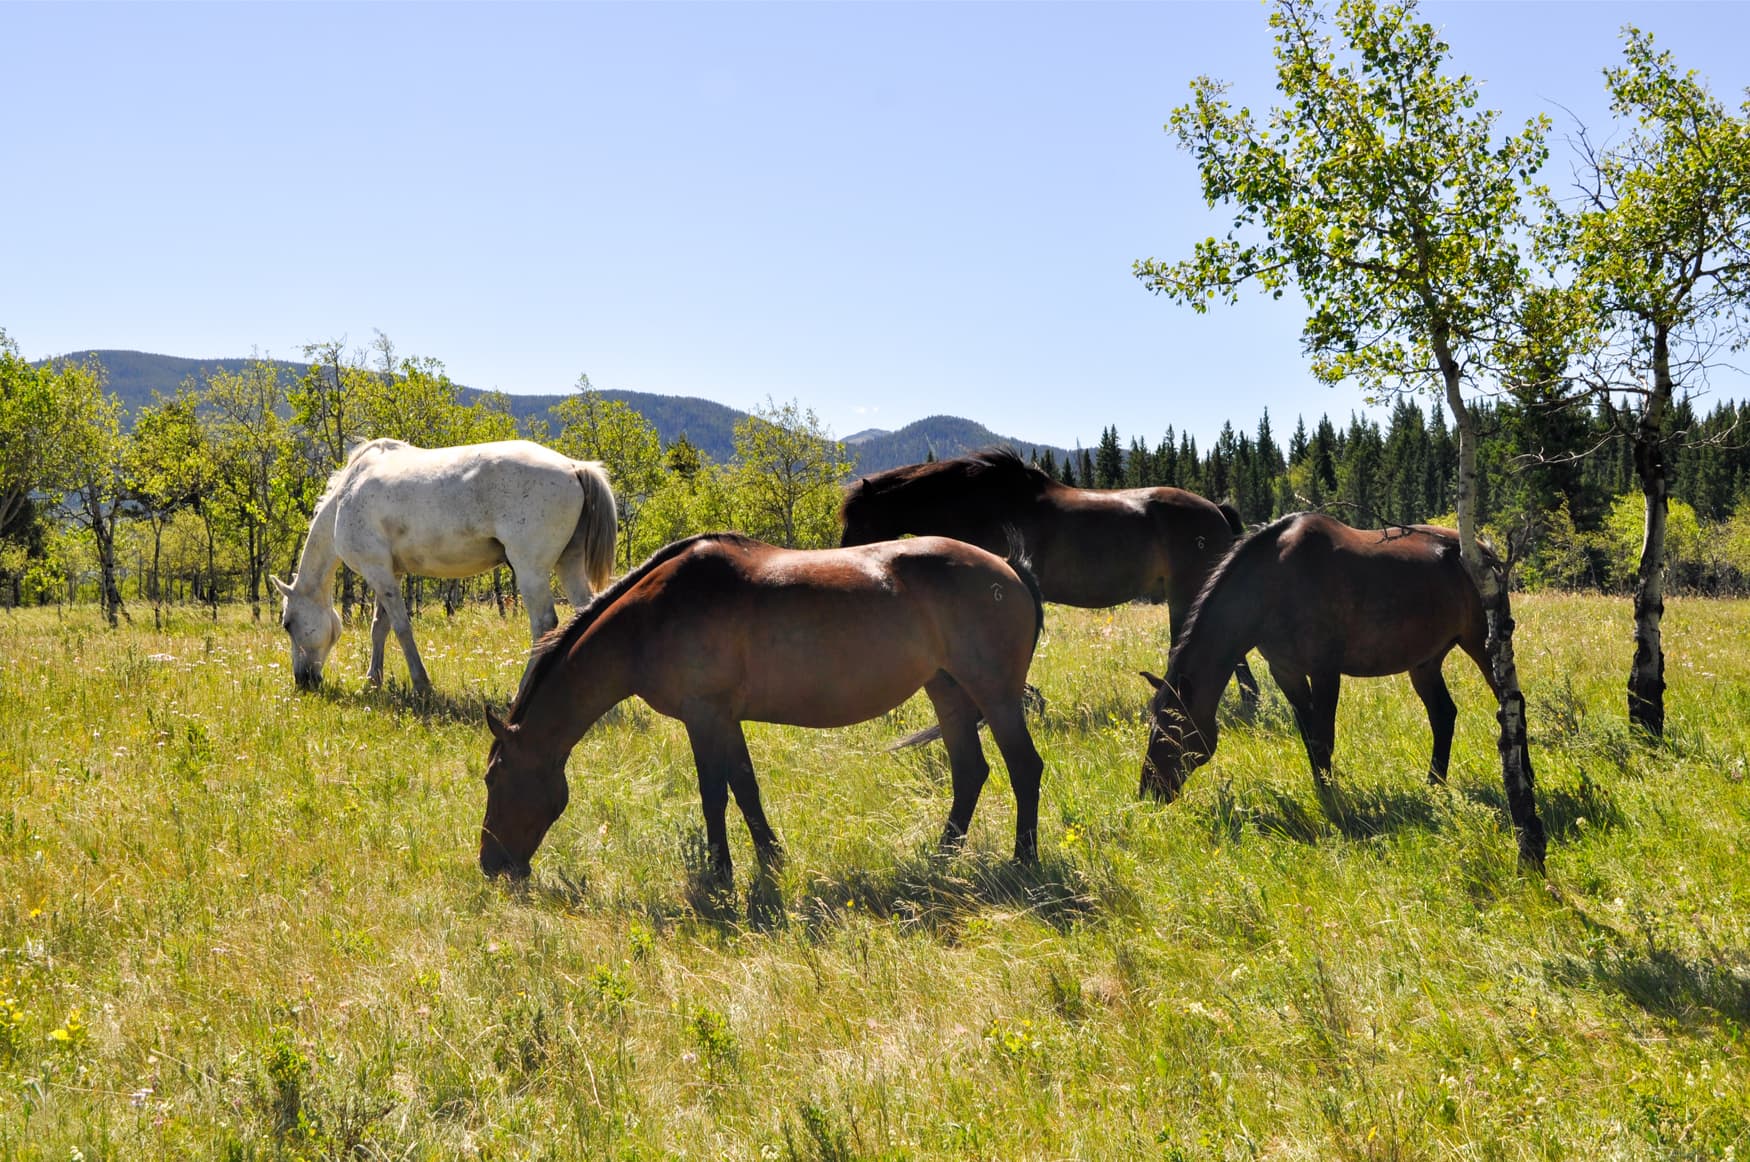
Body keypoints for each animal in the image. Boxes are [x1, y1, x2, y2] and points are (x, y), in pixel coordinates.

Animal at [275, 438, 616, 693]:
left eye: (288, 624)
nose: (303, 681)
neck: (345, 495)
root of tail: (573, 466)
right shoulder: (390, 573)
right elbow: (379, 628)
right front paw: (373, 681)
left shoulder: (378, 572)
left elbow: (401, 627)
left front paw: (421, 684)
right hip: (569, 563)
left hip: (531, 570)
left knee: (544, 624)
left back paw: (523, 691)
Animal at [479, 532, 1047, 888]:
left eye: (493, 778)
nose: (490, 863)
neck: (651, 617)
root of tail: (1010, 570)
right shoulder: (724, 719)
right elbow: (746, 789)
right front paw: (772, 859)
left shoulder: (704, 716)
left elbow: (714, 795)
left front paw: (720, 873)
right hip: (946, 689)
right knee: (970, 771)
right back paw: (942, 855)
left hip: (995, 695)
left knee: (1024, 768)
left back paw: (1023, 860)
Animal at [1139, 512, 1500, 802]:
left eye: (1173, 729)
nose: (1149, 790)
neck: (1271, 587)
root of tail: (1484, 551)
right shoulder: (1286, 672)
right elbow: (1309, 736)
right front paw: (1321, 789)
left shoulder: (1325, 671)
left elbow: (1323, 737)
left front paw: (1332, 799)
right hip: (1425, 662)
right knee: (1443, 715)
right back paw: (1434, 785)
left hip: (1481, 646)